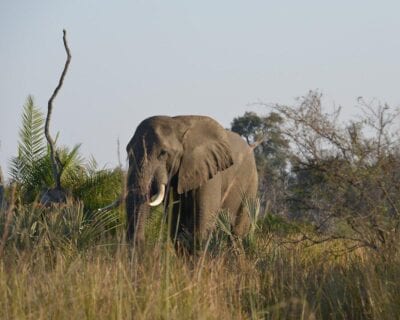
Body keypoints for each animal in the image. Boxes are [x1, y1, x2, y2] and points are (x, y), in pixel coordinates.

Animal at [126, 115, 260, 252]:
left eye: (163, 153)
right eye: (128, 151)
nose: (141, 248)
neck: (177, 124)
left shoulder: (209, 172)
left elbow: (202, 223)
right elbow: (176, 226)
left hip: (251, 182)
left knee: (237, 232)